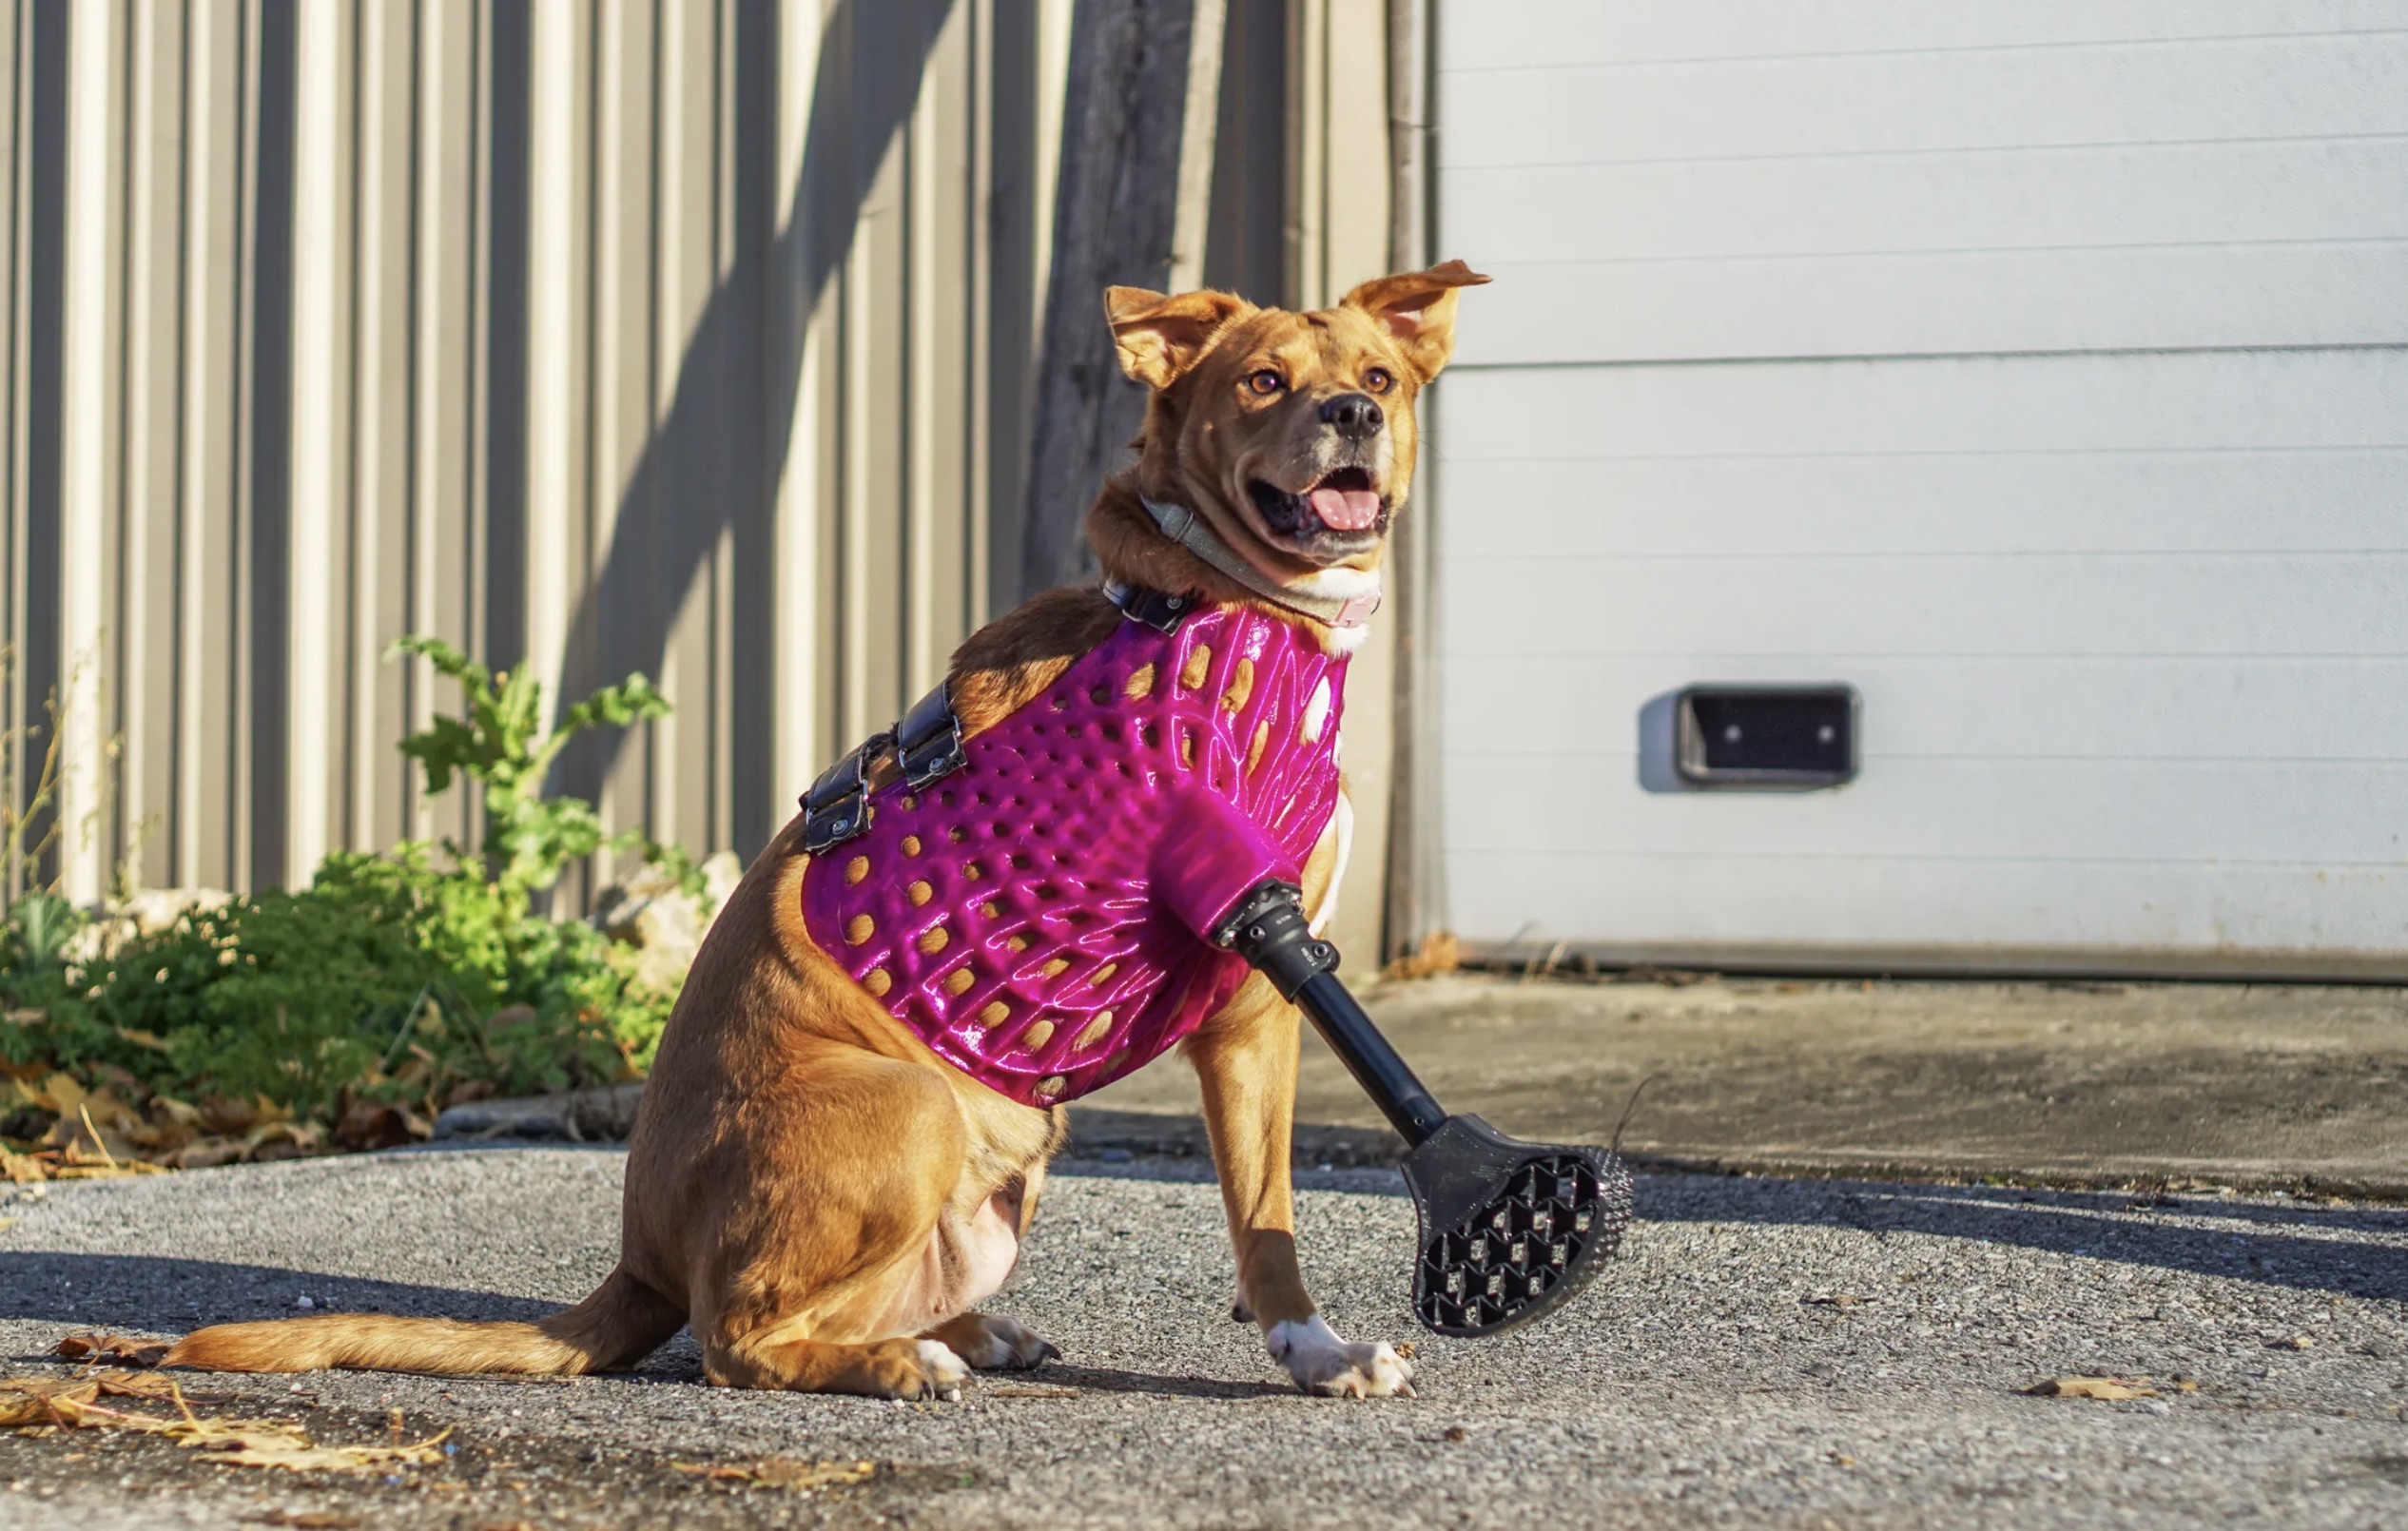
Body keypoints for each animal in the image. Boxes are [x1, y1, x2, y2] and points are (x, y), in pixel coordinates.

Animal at [155, 260, 1483, 1396]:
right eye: (1261, 380)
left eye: (1376, 377)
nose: (1350, 418)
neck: (1217, 600)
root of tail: (639, 1255)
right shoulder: (1257, 982)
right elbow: (1268, 1217)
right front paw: (1315, 1351)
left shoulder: (1263, 991)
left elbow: (1264, 1211)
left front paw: (1310, 1348)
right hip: (912, 1105)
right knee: (736, 1337)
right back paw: (903, 1362)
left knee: (813, 1307)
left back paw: (958, 1332)